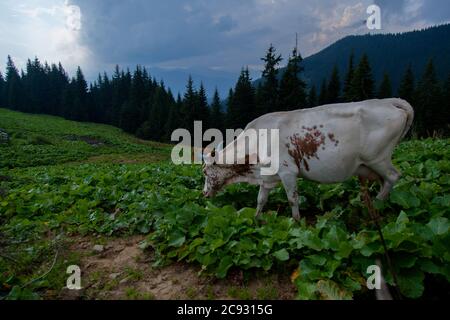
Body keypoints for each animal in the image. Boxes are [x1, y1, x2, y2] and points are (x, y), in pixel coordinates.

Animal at [203, 99, 414, 221]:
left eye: (205, 172)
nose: (204, 193)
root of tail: (388, 102)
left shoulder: (287, 172)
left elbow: (292, 199)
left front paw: (296, 223)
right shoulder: (267, 176)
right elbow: (260, 200)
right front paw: (256, 220)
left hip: (378, 158)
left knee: (393, 176)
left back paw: (377, 205)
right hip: (370, 165)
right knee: (384, 181)